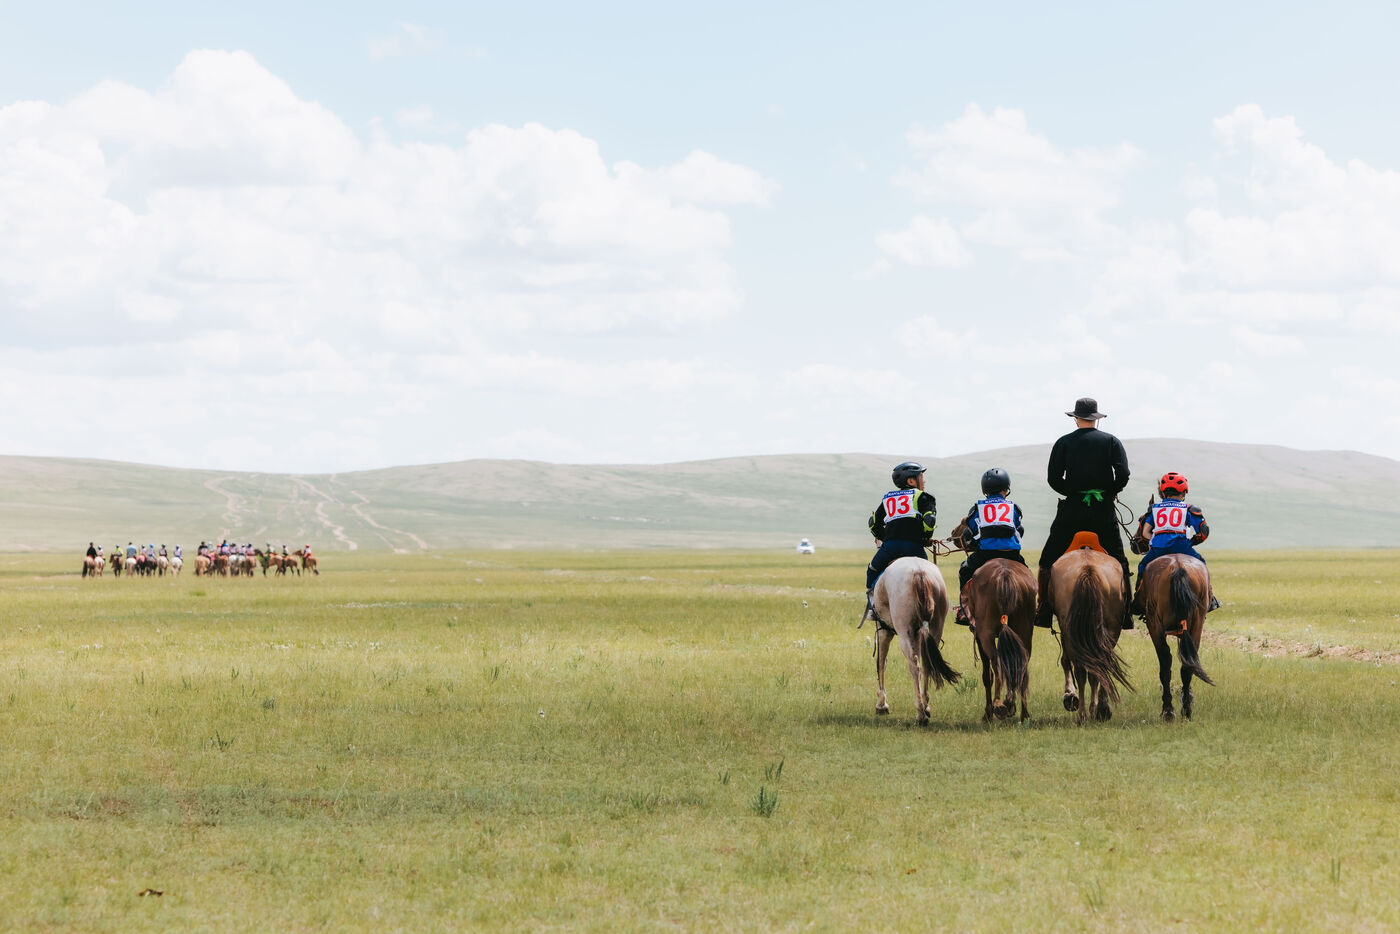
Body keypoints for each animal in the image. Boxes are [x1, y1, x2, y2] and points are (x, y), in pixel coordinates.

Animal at [868, 556, 960, 724]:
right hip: (935, 628)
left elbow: (881, 663)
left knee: (914, 665)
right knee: (926, 664)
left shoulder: (883, 631)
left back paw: (920, 714)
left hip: (905, 633)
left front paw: (882, 704)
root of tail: (919, 573)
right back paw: (926, 706)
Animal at [964, 558, 1036, 723]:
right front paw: (1011, 705)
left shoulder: (979, 637)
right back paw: (1023, 713)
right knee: (1021, 666)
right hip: (1024, 632)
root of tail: (1005, 575)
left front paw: (988, 713)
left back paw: (999, 705)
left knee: (997, 664)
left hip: (986, 633)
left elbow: (987, 676)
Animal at [1050, 536, 1132, 724]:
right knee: (1098, 666)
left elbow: (1066, 661)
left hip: (1072, 631)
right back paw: (1098, 710)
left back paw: (1083, 714)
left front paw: (1070, 695)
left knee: (1082, 669)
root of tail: (1088, 569)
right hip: (1111, 629)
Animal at [1139, 554, 1215, 720]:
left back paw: (1168, 710)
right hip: (1197, 624)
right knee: (1188, 666)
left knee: (1166, 662)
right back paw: (1186, 710)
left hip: (1155, 624)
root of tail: (1178, 567)